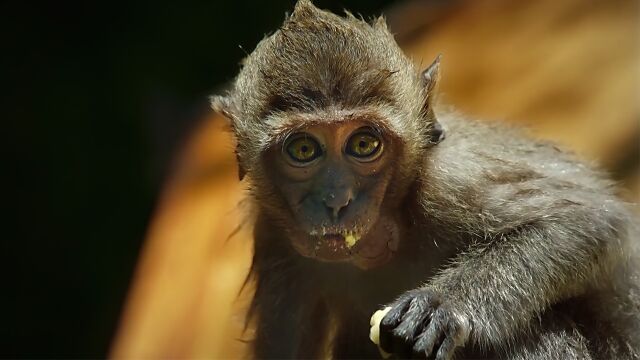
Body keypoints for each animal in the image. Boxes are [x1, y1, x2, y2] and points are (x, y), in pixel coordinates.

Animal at [211, 1, 640, 358]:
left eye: (364, 144)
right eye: (303, 149)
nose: (336, 200)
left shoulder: (450, 180)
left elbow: (588, 221)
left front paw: (442, 307)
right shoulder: (274, 235)